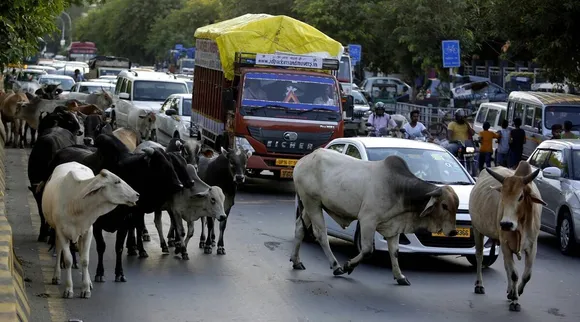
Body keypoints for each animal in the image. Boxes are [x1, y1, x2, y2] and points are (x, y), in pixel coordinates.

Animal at [42, 162, 139, 298]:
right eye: (117, 182)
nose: (137, 195)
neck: (75, 204)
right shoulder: (61, 233)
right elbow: (68, 260)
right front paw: (68, 289)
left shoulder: (88, 232)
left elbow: (85, 260)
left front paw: (86, 288)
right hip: (57, 230)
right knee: (59, 248)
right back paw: (56, 276)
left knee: (81, 253)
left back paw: (88, 282)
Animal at [292, 148, 460, 284]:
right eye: (444, 205)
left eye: (456, 206)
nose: (453, 231)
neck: (399, 189)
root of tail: (303, 160)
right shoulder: (367, 220)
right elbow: (367, 250)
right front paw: (348, 266)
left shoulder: (394, 226)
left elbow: (395, 252)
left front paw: (400, 277)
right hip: (312, 203)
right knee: (321, 234)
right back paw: (336, 266)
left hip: (311, 205)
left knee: (300, 228)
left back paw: (296, 261)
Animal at [468, 164, 548, 312]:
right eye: (502, 196)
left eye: (521, 196)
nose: (505, 224)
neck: (520, 225)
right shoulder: (505, 245)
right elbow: (514, 274)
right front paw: (515, 300)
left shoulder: (532, 246)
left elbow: (526, 275)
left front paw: (517, 292)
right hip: (477, 229)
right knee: (479, 256)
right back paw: (479, 285)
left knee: (506, 265)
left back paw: (510, 291)